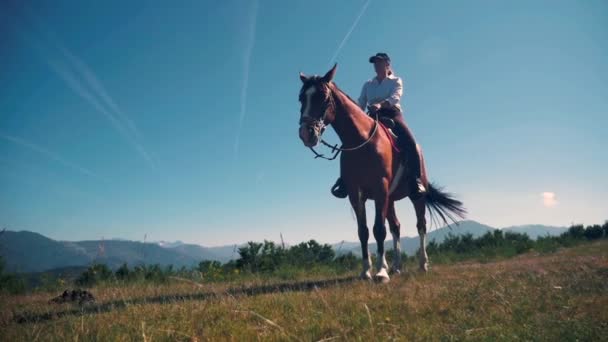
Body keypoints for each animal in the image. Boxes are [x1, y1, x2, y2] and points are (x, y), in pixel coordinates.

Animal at [298, 65, 466, 284]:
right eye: (301, 98)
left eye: (323, 97)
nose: (306, 133)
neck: (362, 141)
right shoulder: (356, 194)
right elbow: (363, 231)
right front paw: (366, 271)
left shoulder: (380, 189)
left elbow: (379, 230)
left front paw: (381, 272)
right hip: (390, 199)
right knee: (396, 226)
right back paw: (397, 266)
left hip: (415, 196)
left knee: (420, 225)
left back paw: (422, 264)